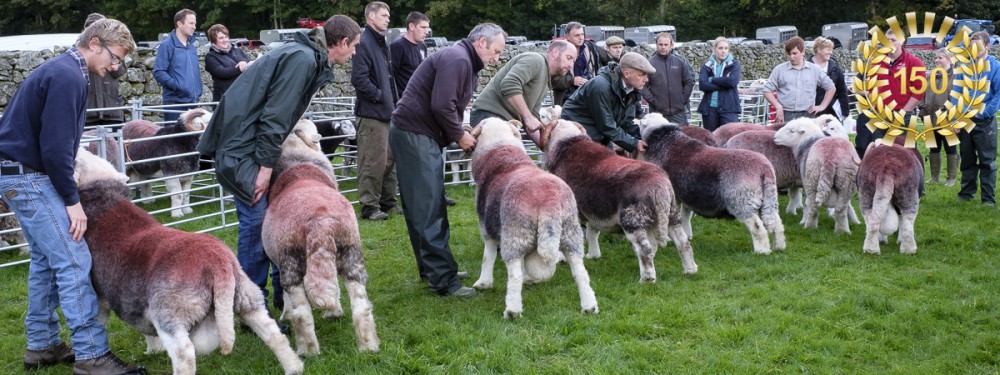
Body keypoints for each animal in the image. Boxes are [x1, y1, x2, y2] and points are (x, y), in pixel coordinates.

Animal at [73, 148, 302, 374]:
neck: (105, 197)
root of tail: (218, 264)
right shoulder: (131, 297)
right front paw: (153, 350)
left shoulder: (101, 293)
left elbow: (99, 319)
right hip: (247, 297)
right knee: (274, 334)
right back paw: (294, 367)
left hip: (173, 312)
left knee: (184, 354)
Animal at [262, 119, 378, 356]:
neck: (297, 154)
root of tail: (320, 221)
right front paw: (335, 310)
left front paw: (285, 313)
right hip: (350, 252)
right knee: (360, 304)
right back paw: (367, 345)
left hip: (291, 261)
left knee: (301, 312)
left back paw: (307, 350)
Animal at [466, 119, 596, 318]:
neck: (499, 149)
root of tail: (549, 200)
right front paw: (530, 279)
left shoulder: (486, 228)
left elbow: (488, 257)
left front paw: (483, 283)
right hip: (570, 233)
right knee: (580, 272)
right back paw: (589, 306)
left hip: (515, 233)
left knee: (514, 274)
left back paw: (512, 310)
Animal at [540, 119, 696, 280]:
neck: (567, 142)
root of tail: (659, 187)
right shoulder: (595, 210)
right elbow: (592, 232)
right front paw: (593, 255)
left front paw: (562, 258)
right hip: (671, 214)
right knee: (683, 242)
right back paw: (689, 270)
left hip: (632, 220)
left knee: (645, 249)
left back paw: (647, 279)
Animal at [640, 122, 788, 256]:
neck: (666, 142)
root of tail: (764, 168)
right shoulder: (685, 195)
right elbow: (685, 215)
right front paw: (687, 234)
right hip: (769, 199)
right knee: (777, 223)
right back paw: (779, 247)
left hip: (741, 201)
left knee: (757, 228)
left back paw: (762, 251)